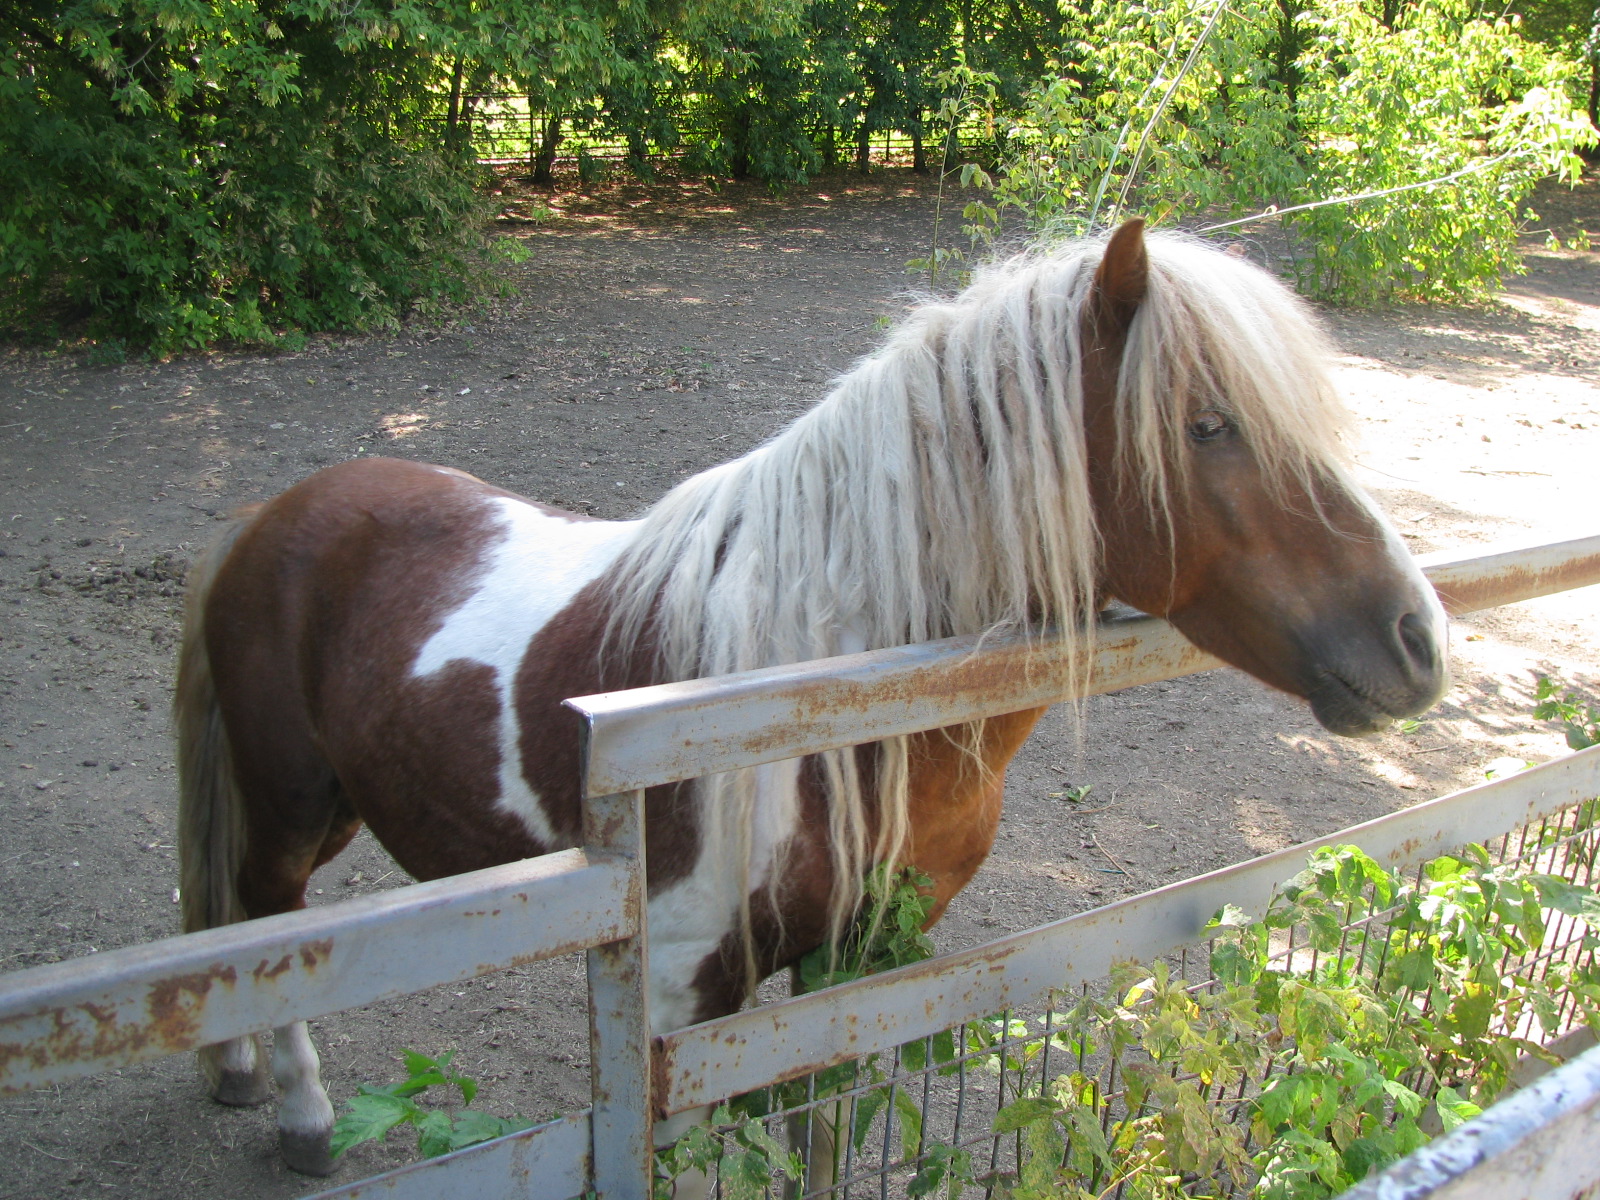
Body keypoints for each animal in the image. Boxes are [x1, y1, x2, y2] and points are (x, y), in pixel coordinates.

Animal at [173, 219, 1448, 1177]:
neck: (816, 697)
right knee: (267, 925)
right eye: (1205, 425)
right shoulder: (681, 996)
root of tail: (279, 515)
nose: (1419, 638)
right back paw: (300, 1114)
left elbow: (819, 1143)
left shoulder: (852, 968)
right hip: (290, 809)